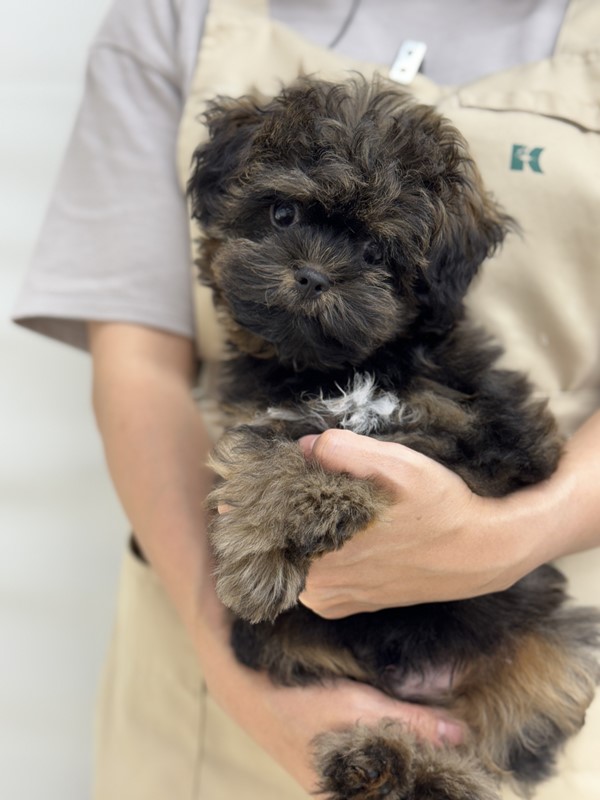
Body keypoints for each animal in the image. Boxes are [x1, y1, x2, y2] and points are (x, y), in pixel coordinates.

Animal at [188, 78, 600, 800]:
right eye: (283, 214)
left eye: (378, 254)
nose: (313, 275)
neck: (339, 368)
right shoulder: (257, 413)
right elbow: (269, 444)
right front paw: (261, 548)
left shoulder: (497, 441)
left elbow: (364, 441)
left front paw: (285, 528)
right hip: (294, 651)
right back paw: (373, 760)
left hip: (550, 649)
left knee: (495, 754)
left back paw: (418, 769)